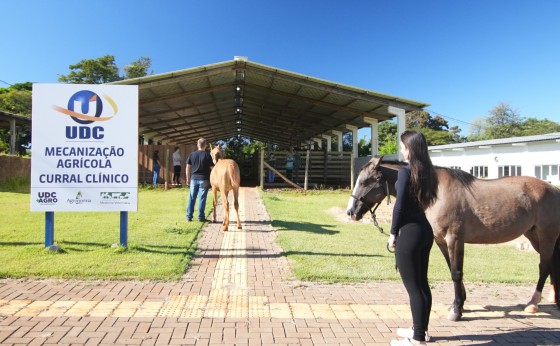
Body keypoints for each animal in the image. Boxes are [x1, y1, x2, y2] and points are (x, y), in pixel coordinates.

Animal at [348, 155, 556, 320]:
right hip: (533, 235)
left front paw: (456, 310)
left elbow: (456, 273)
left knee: (544, 266)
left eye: (365, 182)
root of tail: (553, 190)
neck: (436, 192)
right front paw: (460, 303)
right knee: (551, 264)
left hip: (546, 235)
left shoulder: (454, 239)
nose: (351, 212)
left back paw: (533, 303)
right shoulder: (441, 241)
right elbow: (452, 270)